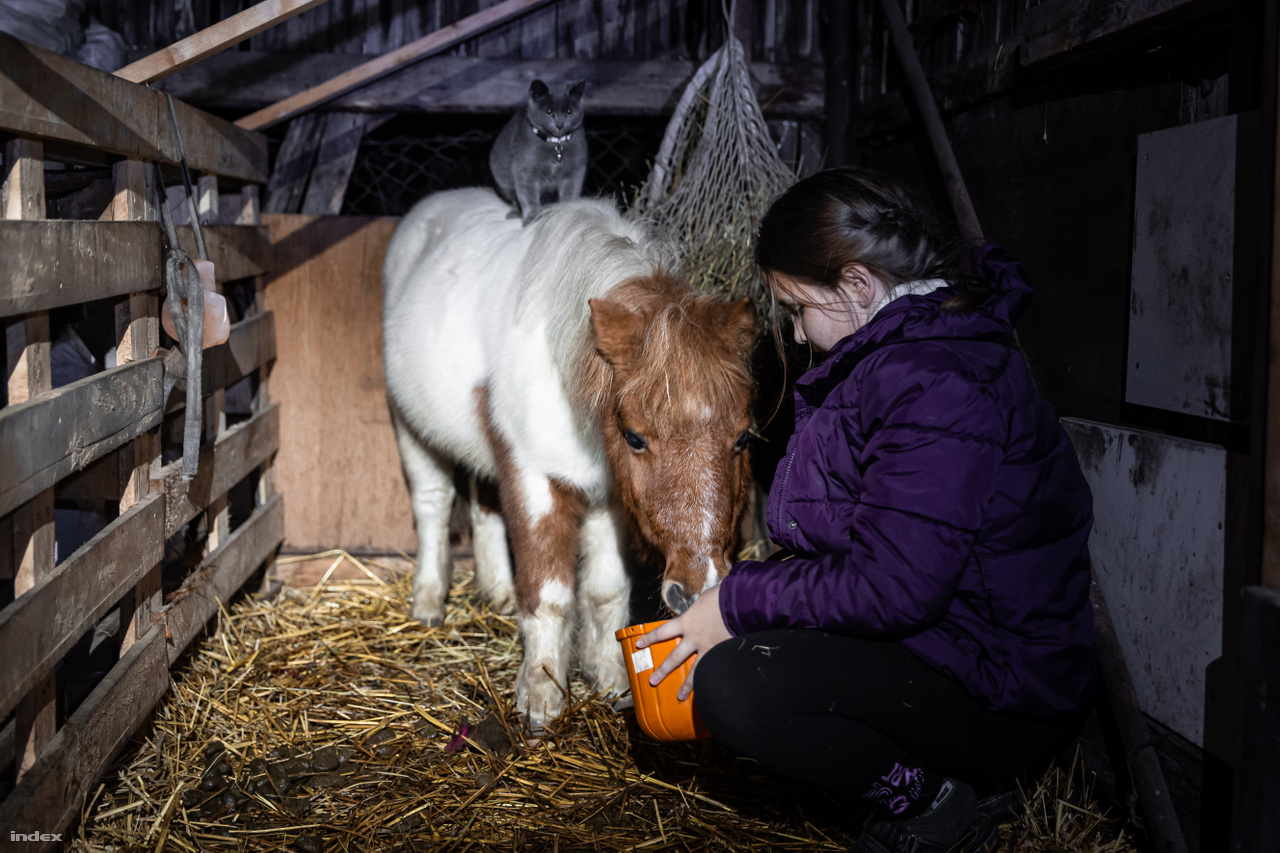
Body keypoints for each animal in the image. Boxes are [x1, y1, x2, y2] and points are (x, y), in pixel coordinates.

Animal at [384, 189, 752, 727]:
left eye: (742, 438)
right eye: (634, 437)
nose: (700, 588)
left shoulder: (611, 500)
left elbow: (605, 592)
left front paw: (611, 679)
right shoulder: (535, 483)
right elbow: (549, 592)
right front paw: (541, 695)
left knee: (483, 504)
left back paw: (495, 589)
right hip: (412, 429)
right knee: (433, 504)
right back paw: (429, 601)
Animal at [488, 78, 588, 224]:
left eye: (569, 112)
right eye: (548, 111)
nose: (559, 124)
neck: (556, 144)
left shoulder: (575, 171)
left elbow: (570, 194)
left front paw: (566, 214)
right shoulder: (525, 171)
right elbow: (528, 197)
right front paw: (531, 218)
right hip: (504, 181)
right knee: (515, 200)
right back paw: (514, 213)